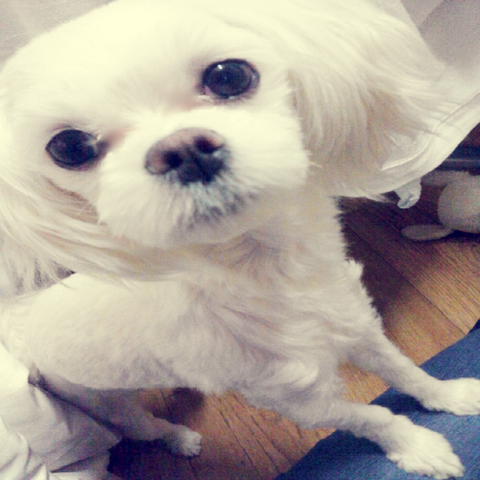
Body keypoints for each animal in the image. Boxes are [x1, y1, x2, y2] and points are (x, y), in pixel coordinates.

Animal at [1, 0, 479, 477]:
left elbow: (404, 369)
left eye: (228, 76)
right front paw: (418, 446)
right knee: (148, 426)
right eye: (69, 148)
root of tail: (23, 326)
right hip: (107, 407)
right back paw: (179, 438)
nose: (182, 149)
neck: (270, 272)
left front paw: (449, 395)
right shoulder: (299, 401)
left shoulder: (357, 324)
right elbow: (371, 416)